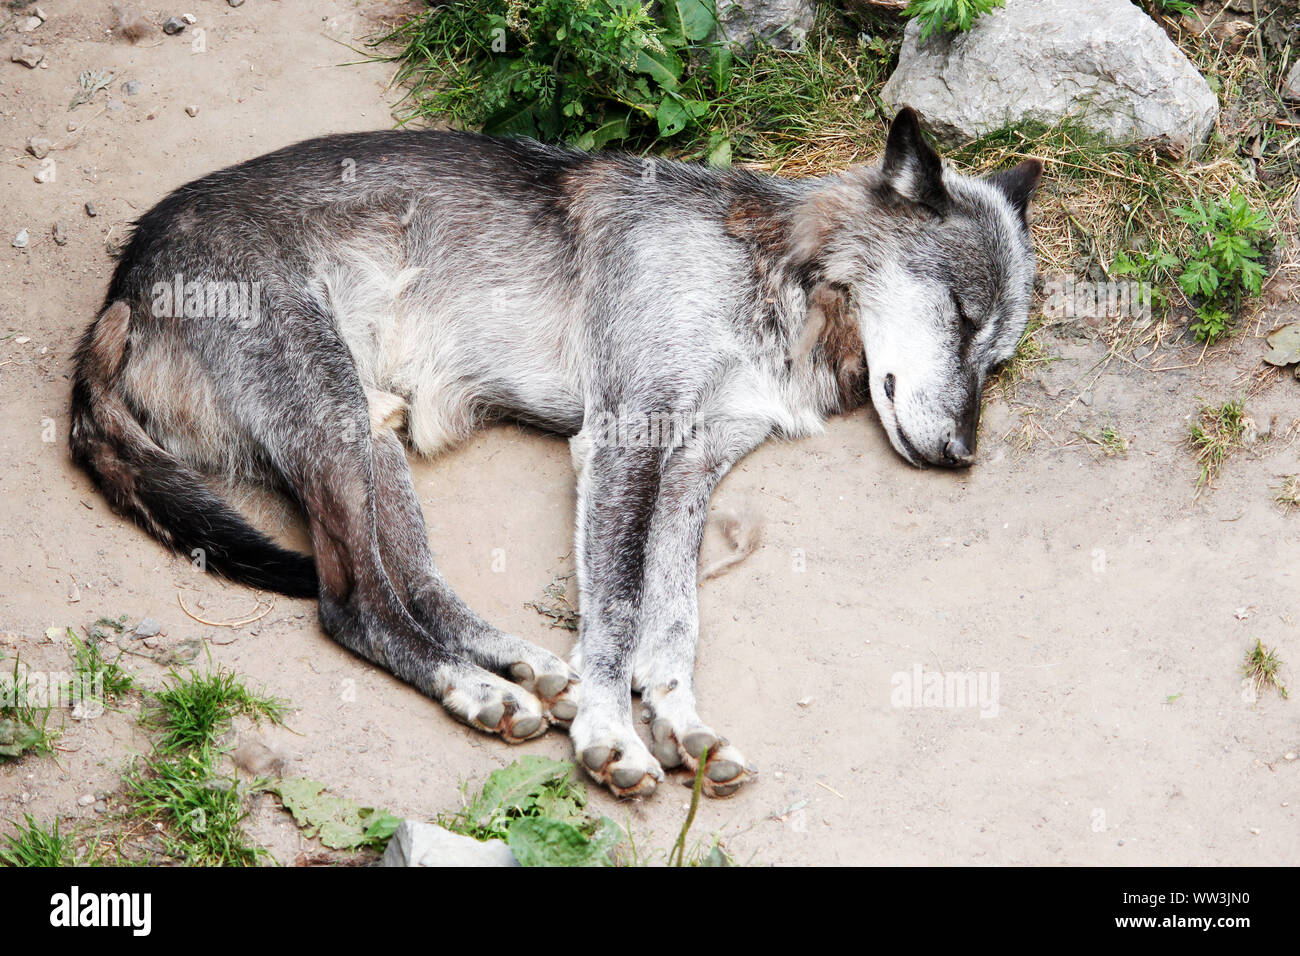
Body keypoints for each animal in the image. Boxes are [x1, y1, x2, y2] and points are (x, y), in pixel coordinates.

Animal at [73, 108, 1045, 801]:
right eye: (961, 315)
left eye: (996, 358)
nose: (962, 455)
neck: (777, 273)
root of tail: (123, 284)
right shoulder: (625, 440)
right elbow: (617, 612)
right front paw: (614, 736)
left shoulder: (692, 468)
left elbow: (674, 618)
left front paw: (678, 720)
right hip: (334, 420)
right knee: (351, 604)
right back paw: (480, 692)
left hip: (373, 434)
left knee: (411, 579)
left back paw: (520, 668)